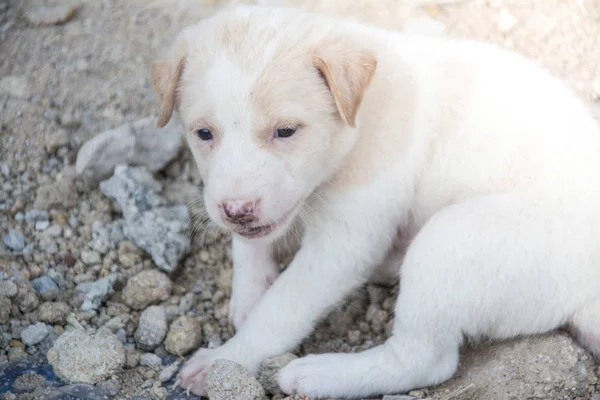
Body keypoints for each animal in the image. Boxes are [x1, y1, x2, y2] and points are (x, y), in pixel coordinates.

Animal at [152, 4, 600, 398]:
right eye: (203, 133)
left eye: (286, 131)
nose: (237, 211)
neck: (362, 114)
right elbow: (249, 245)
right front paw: (249, 293)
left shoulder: (344, 244)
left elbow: (281, 308)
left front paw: (226, 360)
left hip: (449, 243)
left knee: (423, 360)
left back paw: (319, 375)